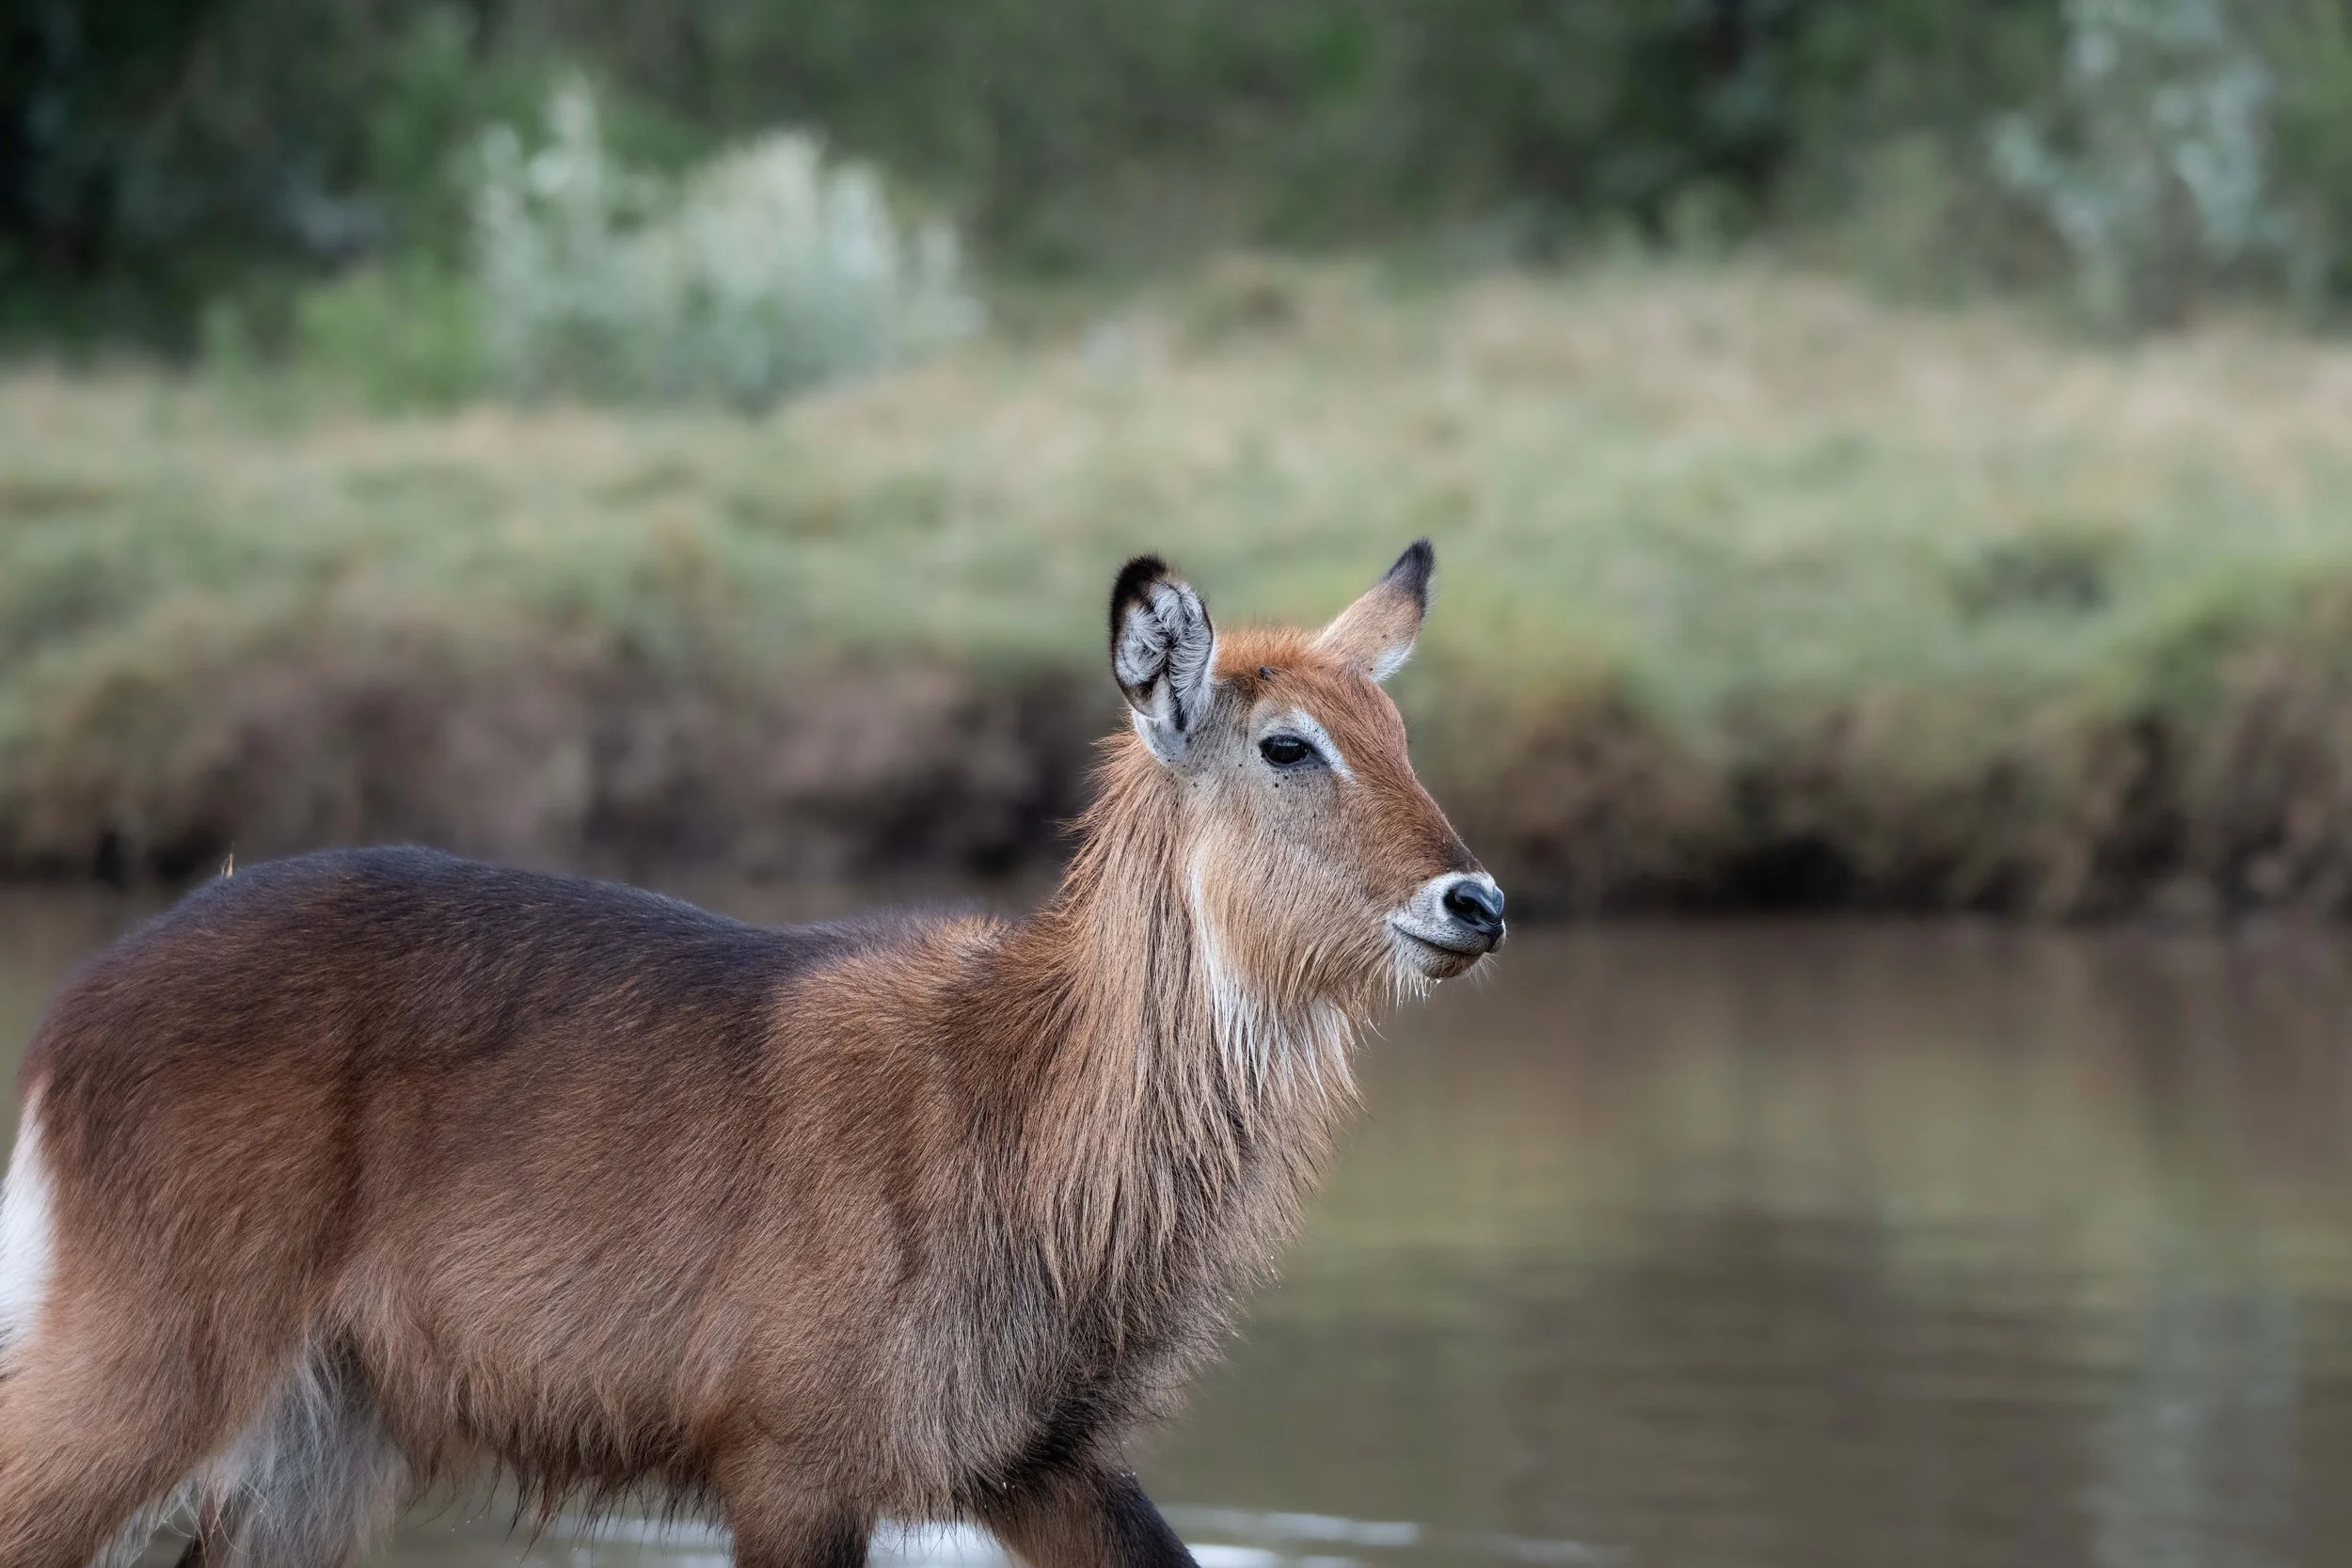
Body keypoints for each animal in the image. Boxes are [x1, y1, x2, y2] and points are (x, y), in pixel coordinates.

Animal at [0, 543, 1505, 1568]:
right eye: (1288, 744)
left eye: (1398, 733)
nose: (1477, 900)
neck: (1015, 1100)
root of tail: (74, 1009)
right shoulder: (791, 1459)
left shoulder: (1043, 1454)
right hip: (149, 1358)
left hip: (316, 1436)